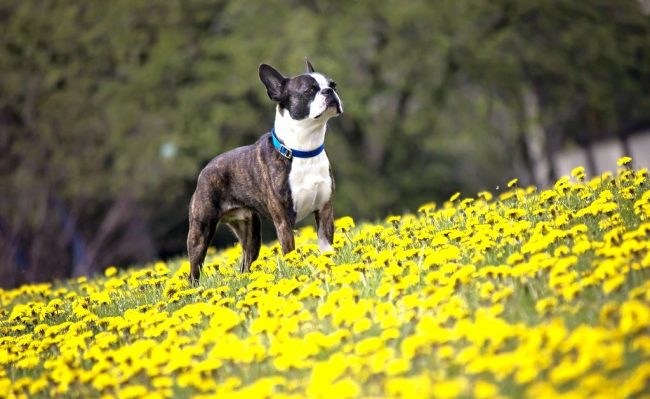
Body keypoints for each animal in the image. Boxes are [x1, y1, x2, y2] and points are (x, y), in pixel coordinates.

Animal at [185, 60, 342, 284]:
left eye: (333, 84)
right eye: (309, 90)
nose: (329, 91)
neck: (303, 149)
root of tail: (205, 170)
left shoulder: (325, 209)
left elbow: (326, 246)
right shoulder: (284, 221)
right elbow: (289, 252)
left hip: (251, 233)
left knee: (245, 264)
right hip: (200, 231)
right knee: (194, 270)